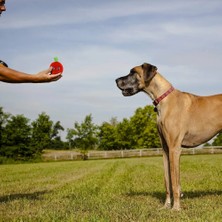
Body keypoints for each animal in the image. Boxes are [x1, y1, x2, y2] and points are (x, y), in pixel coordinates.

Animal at [116, 62, 222, 210]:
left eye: (133, 72)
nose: (116, 80)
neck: (163, 98)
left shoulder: (174, 148)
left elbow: (175, 182)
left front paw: (175, 208)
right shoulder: (165, 150)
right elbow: (167, 181)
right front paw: (166, 206)